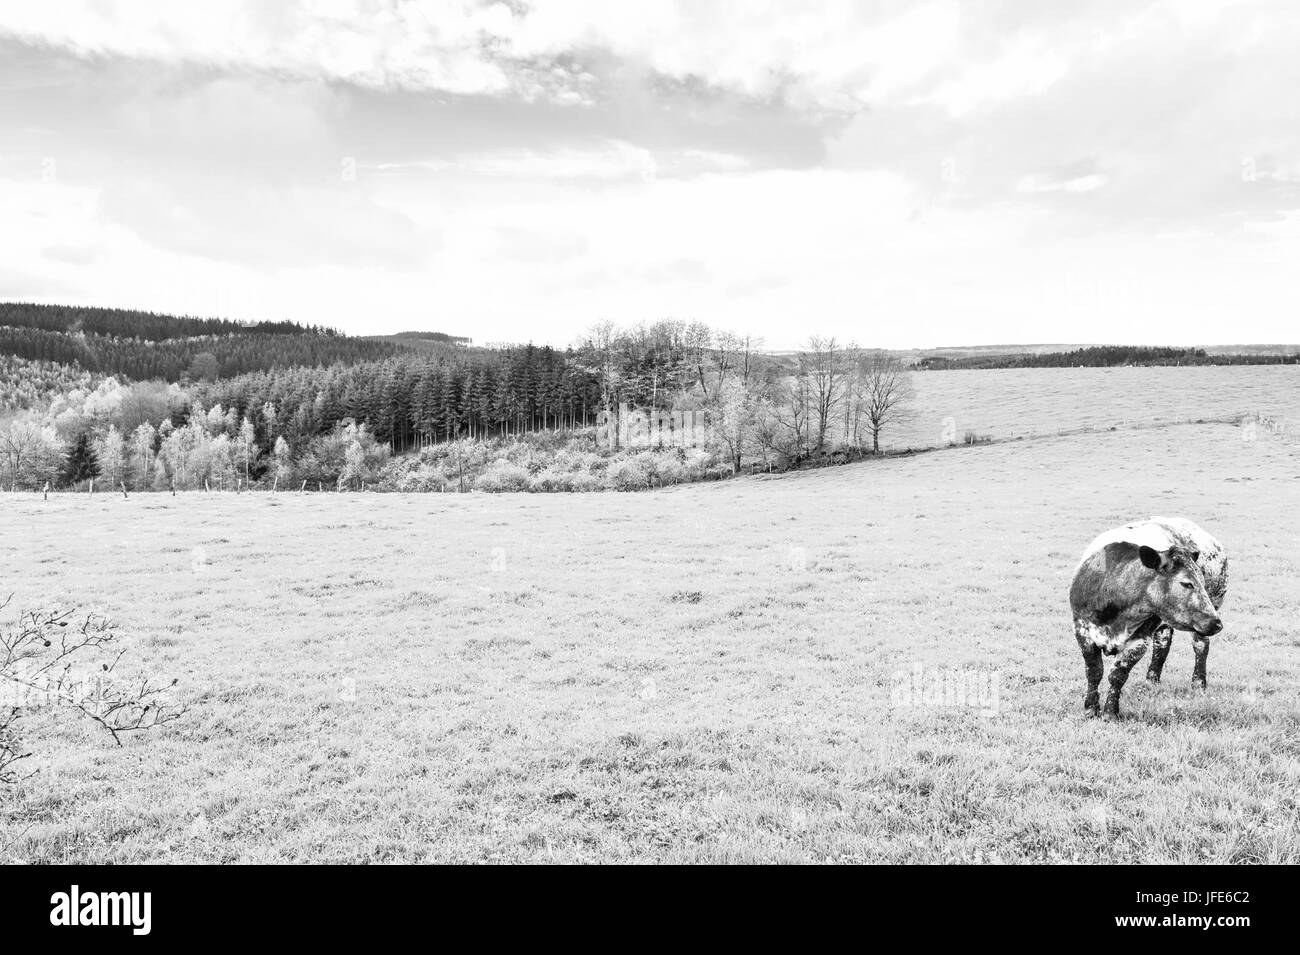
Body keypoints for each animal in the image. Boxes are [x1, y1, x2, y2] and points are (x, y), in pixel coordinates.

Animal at [1069, 517, 1228, 718]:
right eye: (1186, 583)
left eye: (1201, 581)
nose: (1217, 624)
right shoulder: (1082, 630)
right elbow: (1094, 671)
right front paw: (1090, 708)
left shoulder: (1139, 639)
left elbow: (1117, 674)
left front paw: (1110, 711)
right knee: (1162, 643)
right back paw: (1151, 680)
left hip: (1209, 609)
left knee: (1200, 646)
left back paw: (1198, 683)